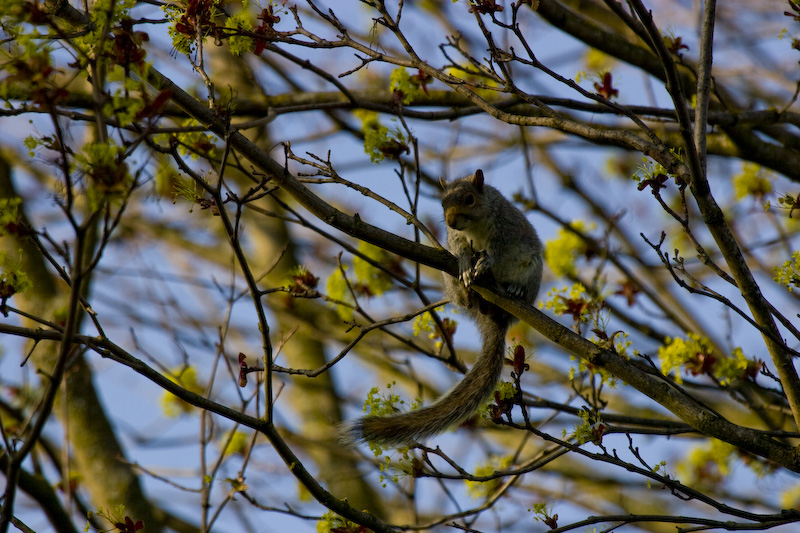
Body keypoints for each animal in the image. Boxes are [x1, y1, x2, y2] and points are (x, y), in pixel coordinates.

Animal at [344, 170, 544, 444]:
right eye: (442, 203)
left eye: (470, 199)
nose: (450, 221)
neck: (474, 226)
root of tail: (491, 314)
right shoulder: (455, 238)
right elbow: (460, 249)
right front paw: (466, 262)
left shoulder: (506, 228)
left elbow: (497, 250)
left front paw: (486, 262)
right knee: (465, 296)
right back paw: (468, 293)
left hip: (532, 268)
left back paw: (514, 290)